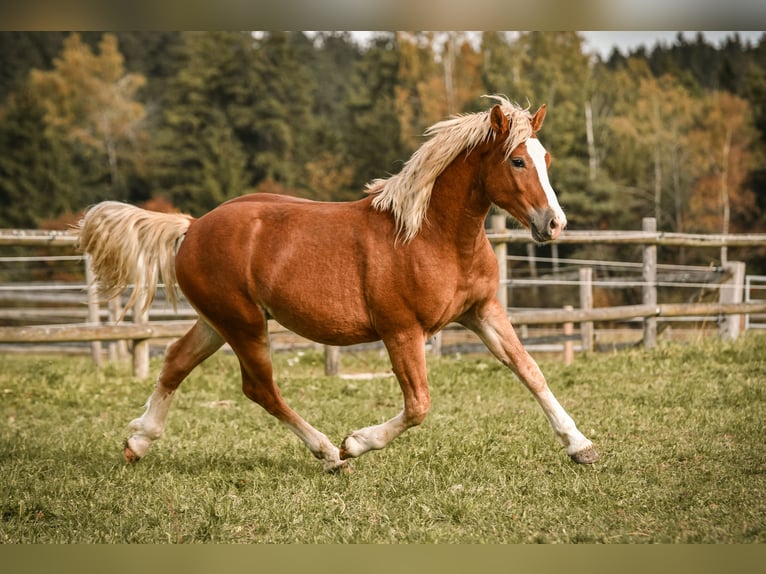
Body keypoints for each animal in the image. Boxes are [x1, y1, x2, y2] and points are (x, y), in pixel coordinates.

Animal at [77, 96, 599, 472]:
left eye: (546, 157)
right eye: (517, 161)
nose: (555, 224)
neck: (431, 235)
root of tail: (192, 227)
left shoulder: (482, 311)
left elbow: (530, 370)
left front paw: (581, 446)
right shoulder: (401, 331)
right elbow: (419, 405)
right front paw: (356, 443)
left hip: (217, 321)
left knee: (175, 362)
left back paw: (138, 442)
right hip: (244, 325)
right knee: (259, 388)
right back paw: (329, 453)